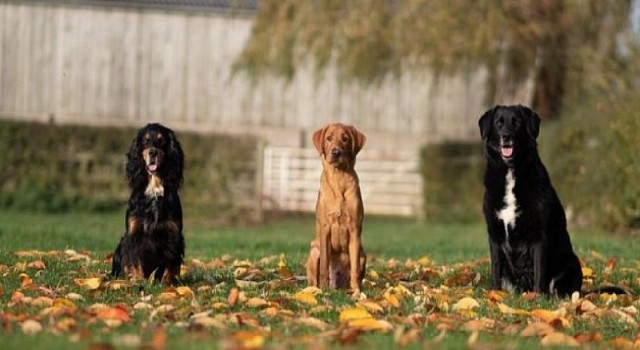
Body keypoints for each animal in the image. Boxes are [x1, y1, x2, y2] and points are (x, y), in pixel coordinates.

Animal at [110, 123, 184, 284]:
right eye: (145, 141)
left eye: (162, 141)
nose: (153, 152)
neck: (154, 188)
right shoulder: (134, 232)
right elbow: (134, 258)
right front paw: (138, 280)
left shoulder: (173, 233)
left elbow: (170, 263)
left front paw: (166, 282)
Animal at [478, 104, 584, 296]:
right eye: (499, 123)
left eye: (517, 122)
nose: (506, 137)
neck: (511, 171)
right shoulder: (494, 235)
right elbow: (495, 268)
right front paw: (495, 294)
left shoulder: (538, 236)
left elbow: (539, 271)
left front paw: (537, 297)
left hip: (571, 263)